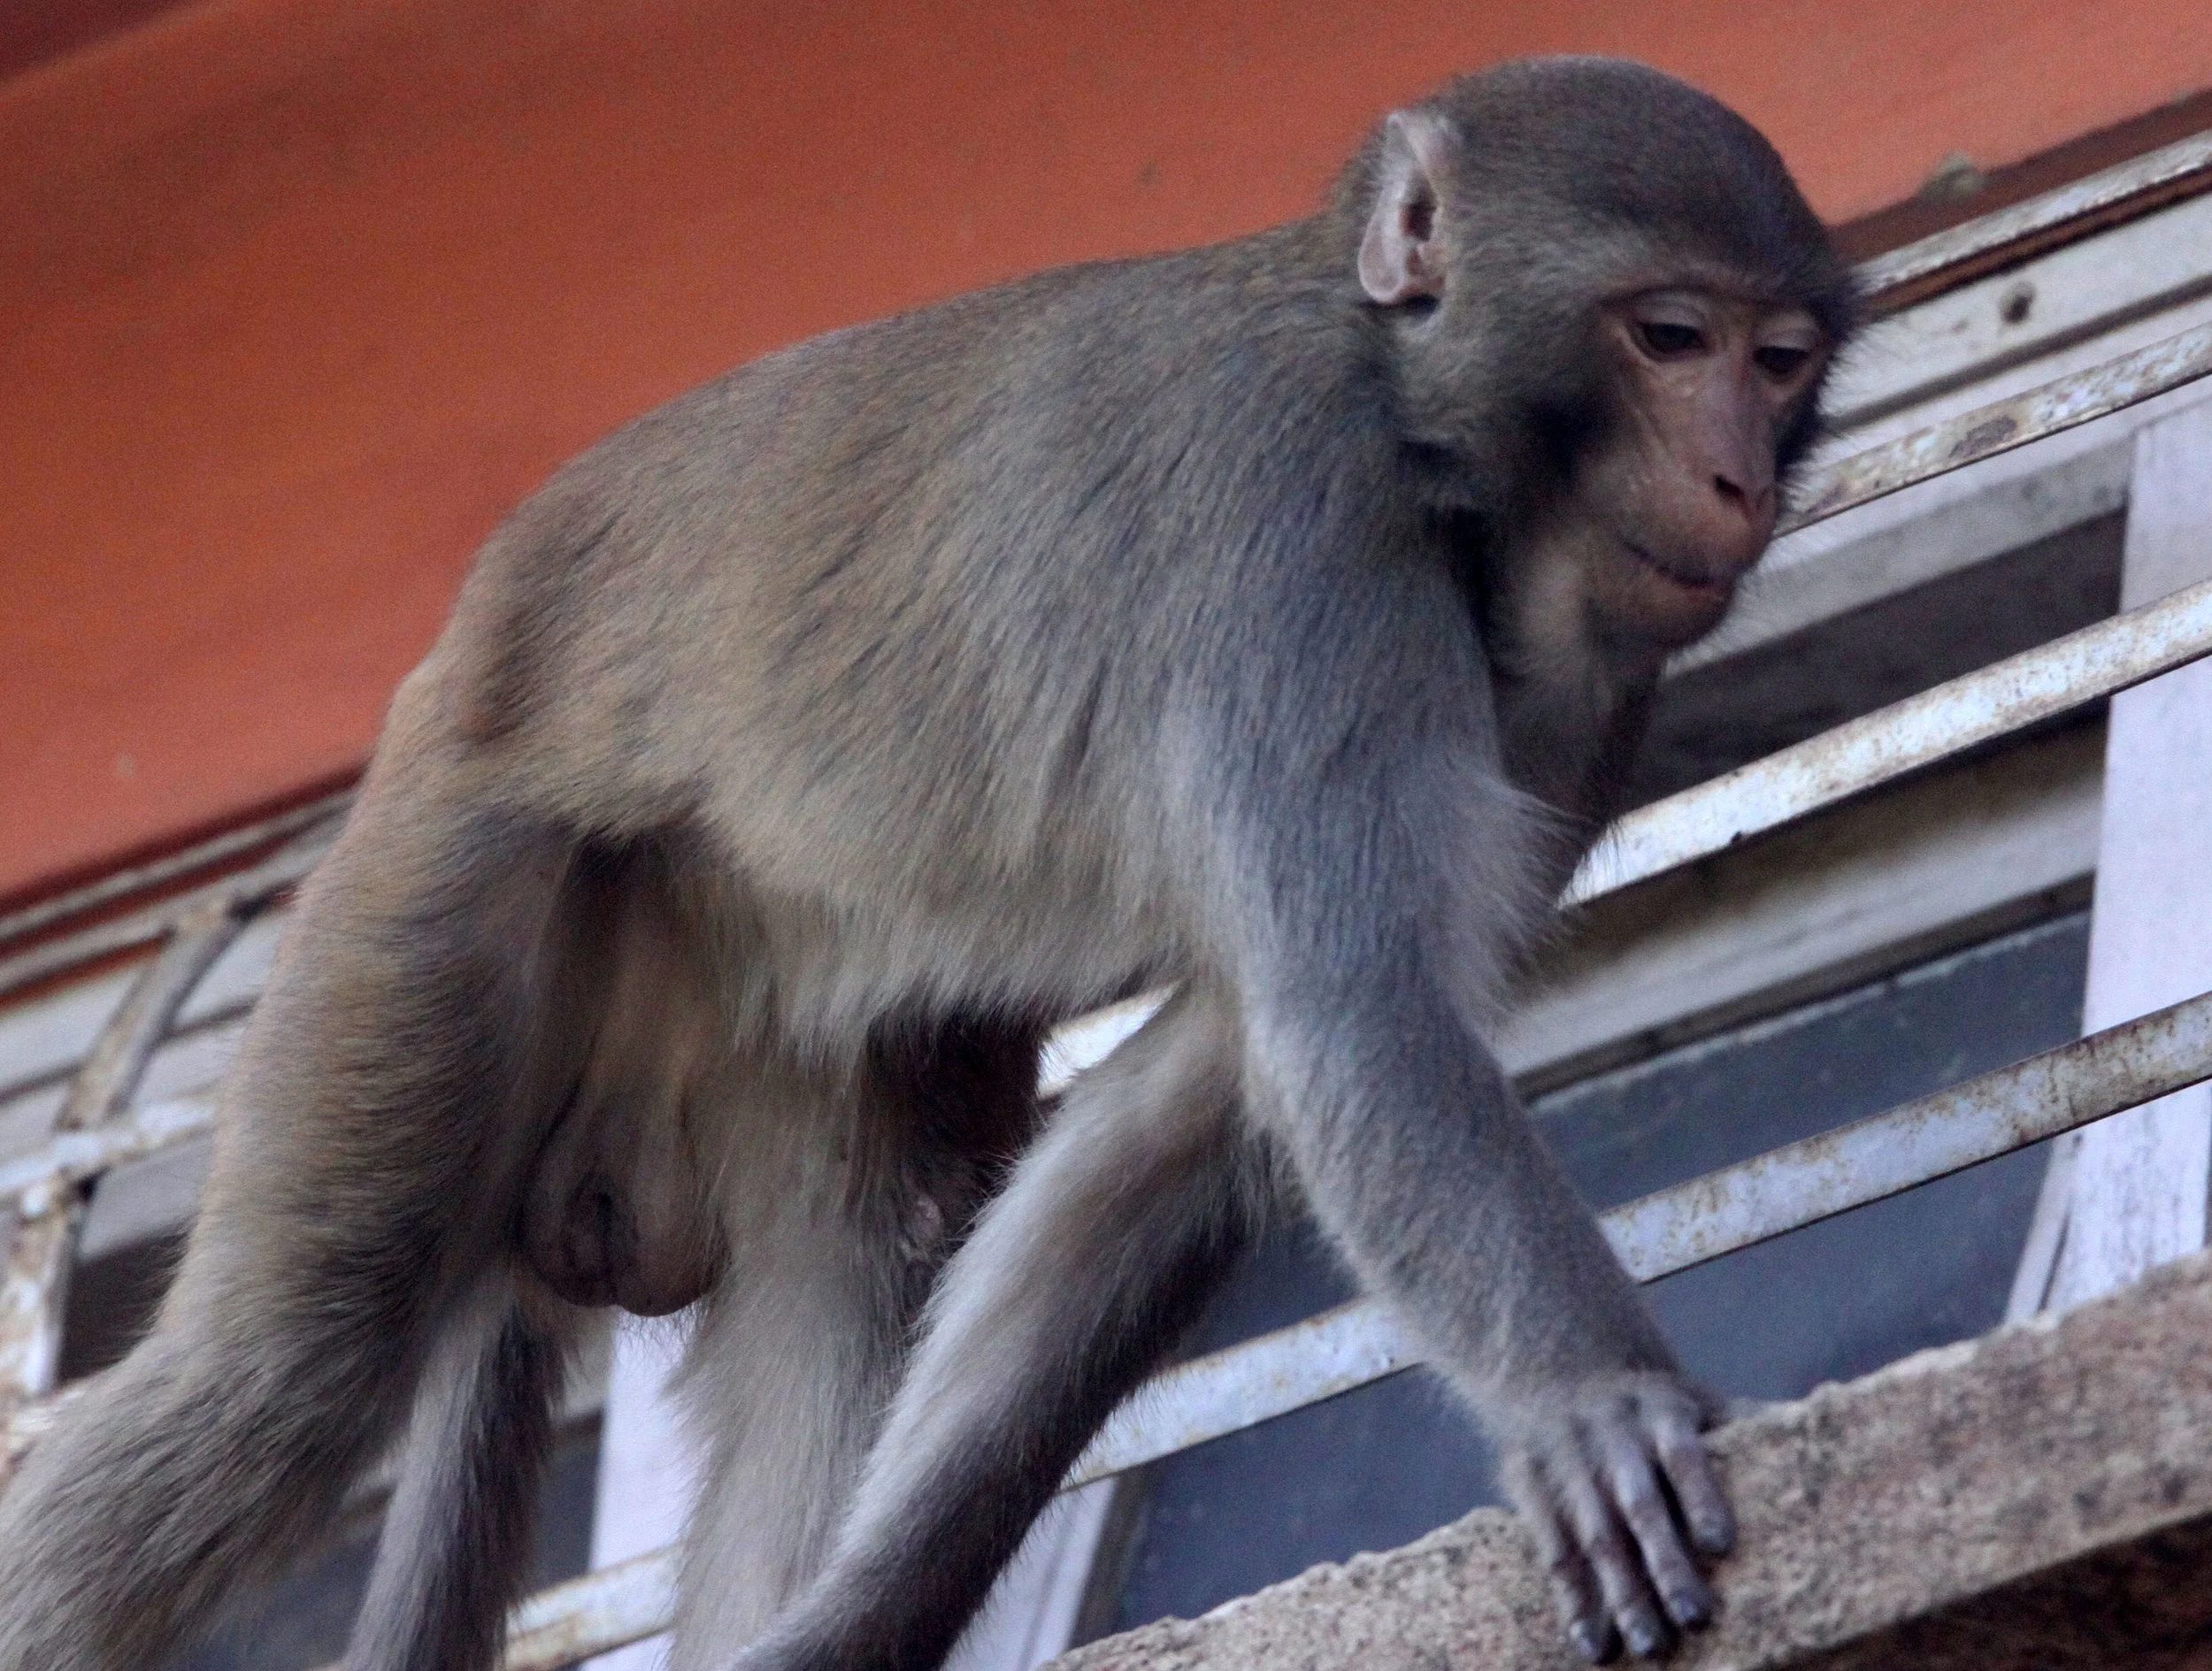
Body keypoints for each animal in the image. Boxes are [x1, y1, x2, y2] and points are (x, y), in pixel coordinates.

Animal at [0, 55, 1852, 1671]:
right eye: (1667, 335)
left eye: (1776, 360)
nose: (1734, 478)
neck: (1423, 442)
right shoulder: (1296, 551)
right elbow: (1357, 1022)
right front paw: (1591, 1402)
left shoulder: (1586, 696)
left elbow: (1180, 1122)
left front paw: (846, 1629)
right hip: (440, 881)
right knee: (276, 1374)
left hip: (763, 1009)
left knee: (854, 1267)